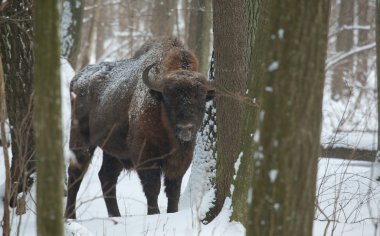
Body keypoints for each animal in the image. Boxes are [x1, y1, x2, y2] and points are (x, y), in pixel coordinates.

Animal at [63, 37, 215, 219]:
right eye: (168, 98)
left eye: (201, 99)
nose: (185, 128)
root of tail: (77, 79)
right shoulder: (145, 155)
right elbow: (153, 188)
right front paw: (154, 213)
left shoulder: (181, 160)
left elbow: (173, 190)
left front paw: (172, 212)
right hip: (81, 140)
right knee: (76, 174)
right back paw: (70, 216)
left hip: (113, 151)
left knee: (106, 176)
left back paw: (116, 215)